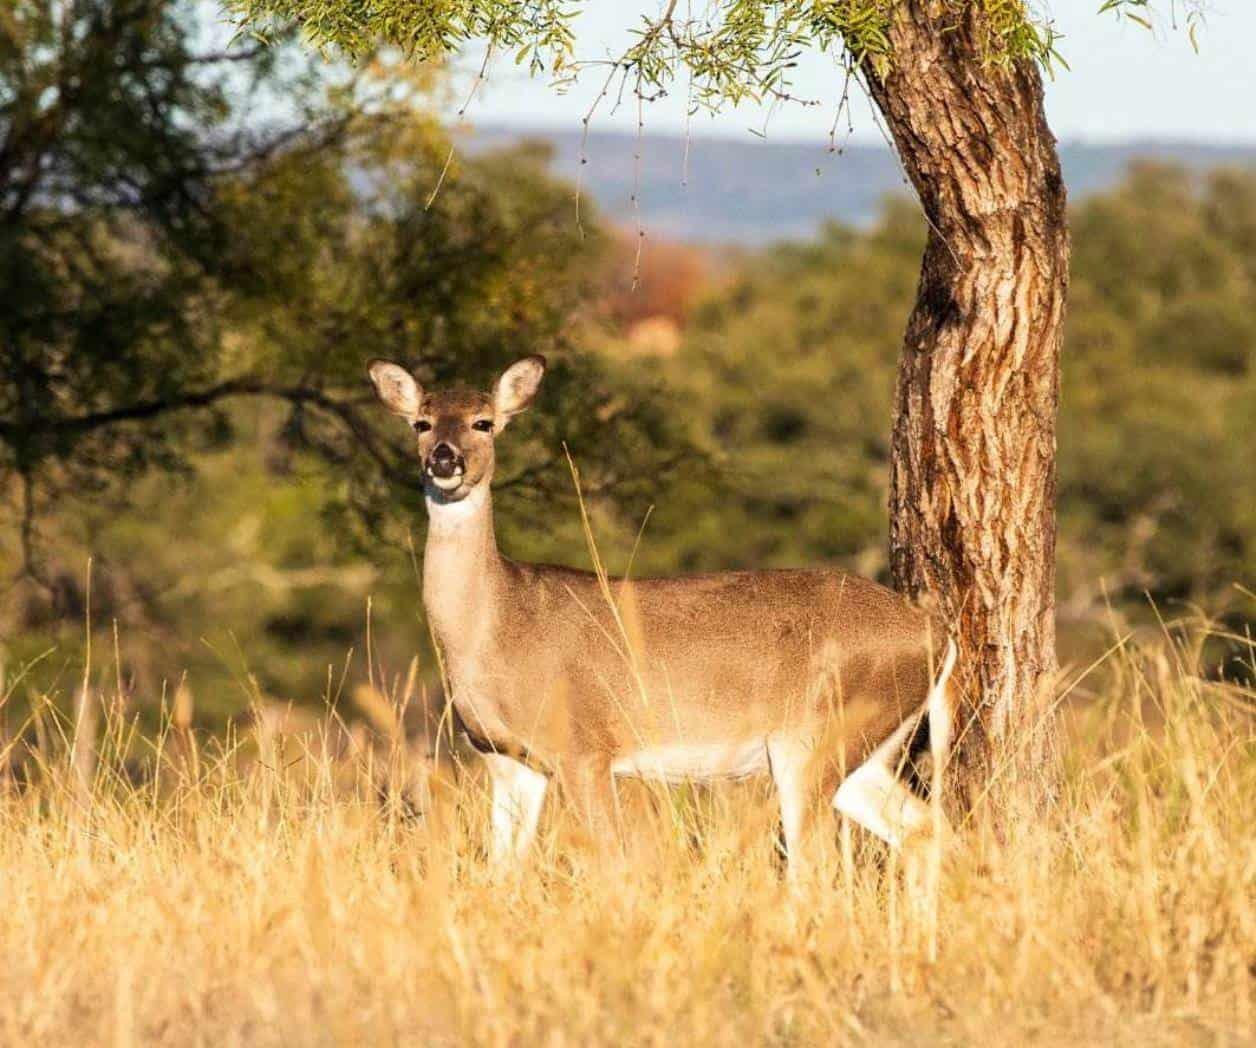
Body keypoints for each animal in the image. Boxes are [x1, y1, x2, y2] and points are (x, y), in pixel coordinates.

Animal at [366, 354, 954, 879]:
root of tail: (938, 634)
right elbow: (502, 872)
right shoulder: (507, 758)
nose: (445, 459)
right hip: (864, 749)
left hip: (814, 737)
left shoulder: (584, 747)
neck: (500, 623)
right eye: (421, 423)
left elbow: (610, 863)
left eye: (483, 421)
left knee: (818, 863)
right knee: (925, 829)